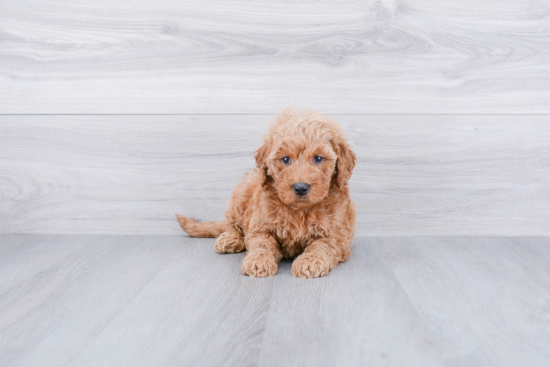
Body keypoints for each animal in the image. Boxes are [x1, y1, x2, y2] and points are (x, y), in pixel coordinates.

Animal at [177, 108, 358, 278]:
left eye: (318, 158)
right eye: (285, 159)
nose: (300, 187)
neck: (299, 211)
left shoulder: (336, 235)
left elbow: (321, 246)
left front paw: (309, 262)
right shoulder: (260, 225)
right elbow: (261, 243)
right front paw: (258, 261)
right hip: (240, 194)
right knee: (232, 225)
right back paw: (230, 238)